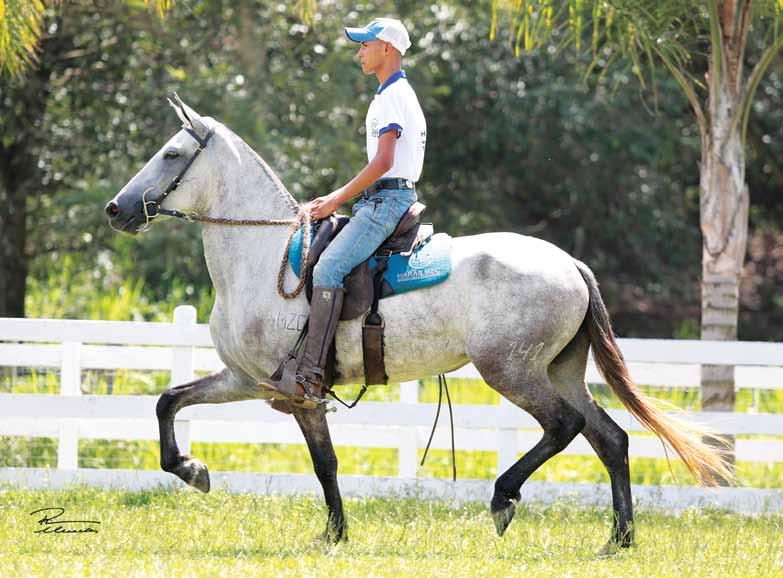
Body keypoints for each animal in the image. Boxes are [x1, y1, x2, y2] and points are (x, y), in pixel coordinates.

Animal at [107, 97, 732, 552]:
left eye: (170, 154)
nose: (117, 209)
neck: (265, 256)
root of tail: (570, 264)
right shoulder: (247, 379)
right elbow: (169, 400)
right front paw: (191, 469)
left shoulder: (300, 394)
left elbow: (324, 462)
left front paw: (334, 534)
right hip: (561, 372)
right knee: (610, 437)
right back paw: (618, 539)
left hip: (512, 372)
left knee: (564, 427)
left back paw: (504, 499)